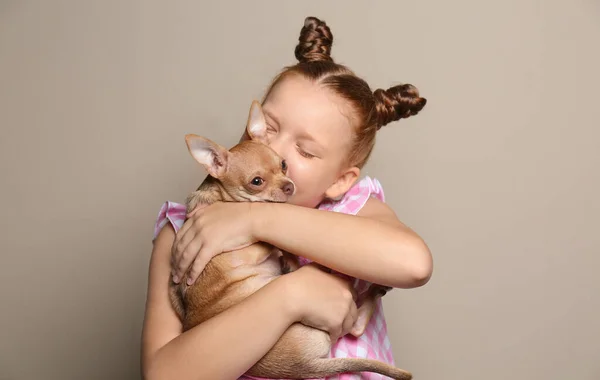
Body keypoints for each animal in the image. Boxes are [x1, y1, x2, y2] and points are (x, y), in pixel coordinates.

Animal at [170, 101, 412, 380]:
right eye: (256, 182)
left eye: (284, 165)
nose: (289, 186)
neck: (221, 197)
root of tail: (305, 366)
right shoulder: (256, 247)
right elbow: (279, 246)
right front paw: (289, 258)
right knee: (354, 322)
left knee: (355, 326)